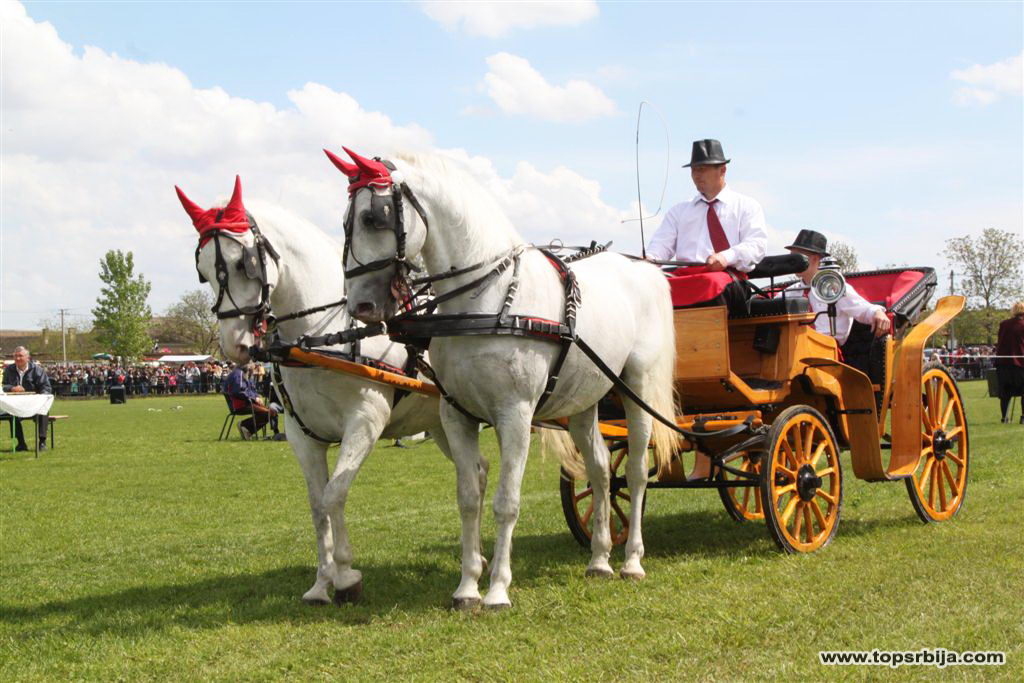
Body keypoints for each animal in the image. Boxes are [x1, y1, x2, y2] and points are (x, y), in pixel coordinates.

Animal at [175, 176, 488, 605]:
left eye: (244, 263)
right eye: (203, 272)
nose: (234, 345)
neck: (323, 336)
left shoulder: (365, 422)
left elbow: (334, 494)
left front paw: (345, 576)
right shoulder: (302, 434)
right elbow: (316, 504)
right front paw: (322, 583)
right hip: (443, 424)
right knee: (479, 470)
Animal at [327, 148, 679, 609]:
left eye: (374, 218)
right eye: (345, 222)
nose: (360, 305)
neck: (486, 302)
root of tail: (648, 271)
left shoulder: (515, 415)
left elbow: (506, 502)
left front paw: (496, 589)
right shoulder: (456, 415)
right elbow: (468, 499)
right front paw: (466, 587)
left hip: (637, 390)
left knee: (635, 472)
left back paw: (632, 561)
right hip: (585, 402)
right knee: (603, 470)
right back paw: (600, 559)